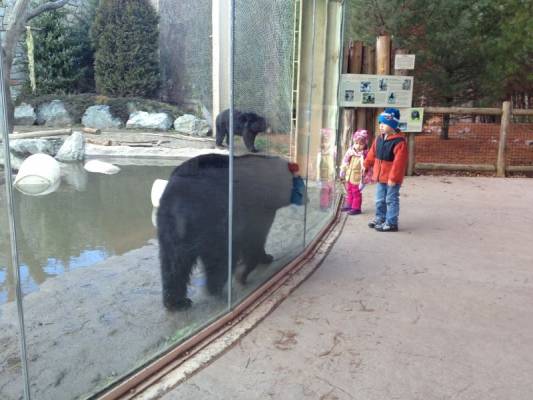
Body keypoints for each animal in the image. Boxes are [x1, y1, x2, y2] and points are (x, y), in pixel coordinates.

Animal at [157, 153, 303, 311]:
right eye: (300, 182)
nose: (305, 198)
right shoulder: (256, 208)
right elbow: (255, 237)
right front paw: (259, 261)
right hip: (213, 220)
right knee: (218, 258)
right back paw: (216, 290)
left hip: (169, 224)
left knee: (173, 262)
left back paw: (176, 302)